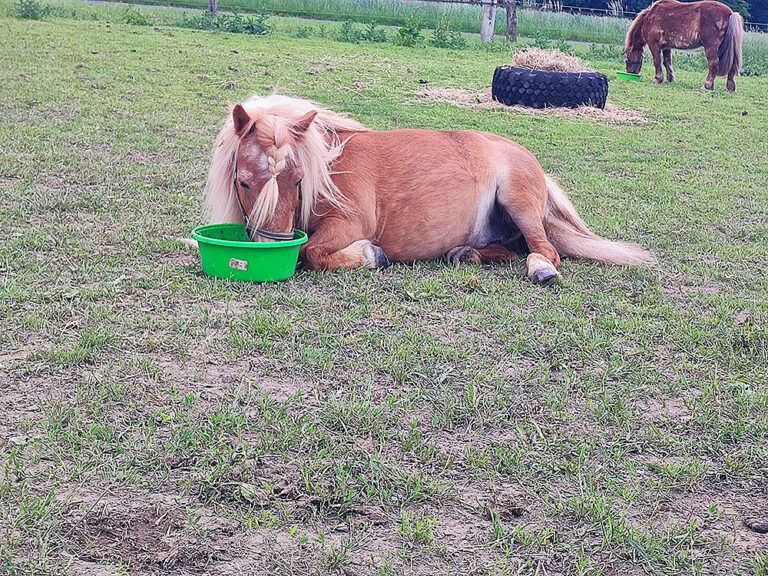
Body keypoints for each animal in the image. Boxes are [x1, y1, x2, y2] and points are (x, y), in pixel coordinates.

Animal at [204, 94, 653, 285]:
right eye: (244, 182)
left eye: (297, 181)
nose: (272, 246)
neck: (327, 169)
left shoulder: (350, 223)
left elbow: (312, 252)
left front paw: (371, 256)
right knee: (510, 251)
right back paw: (465, 254)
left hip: (519, 202)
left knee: (544, 250)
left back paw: (540, 269)